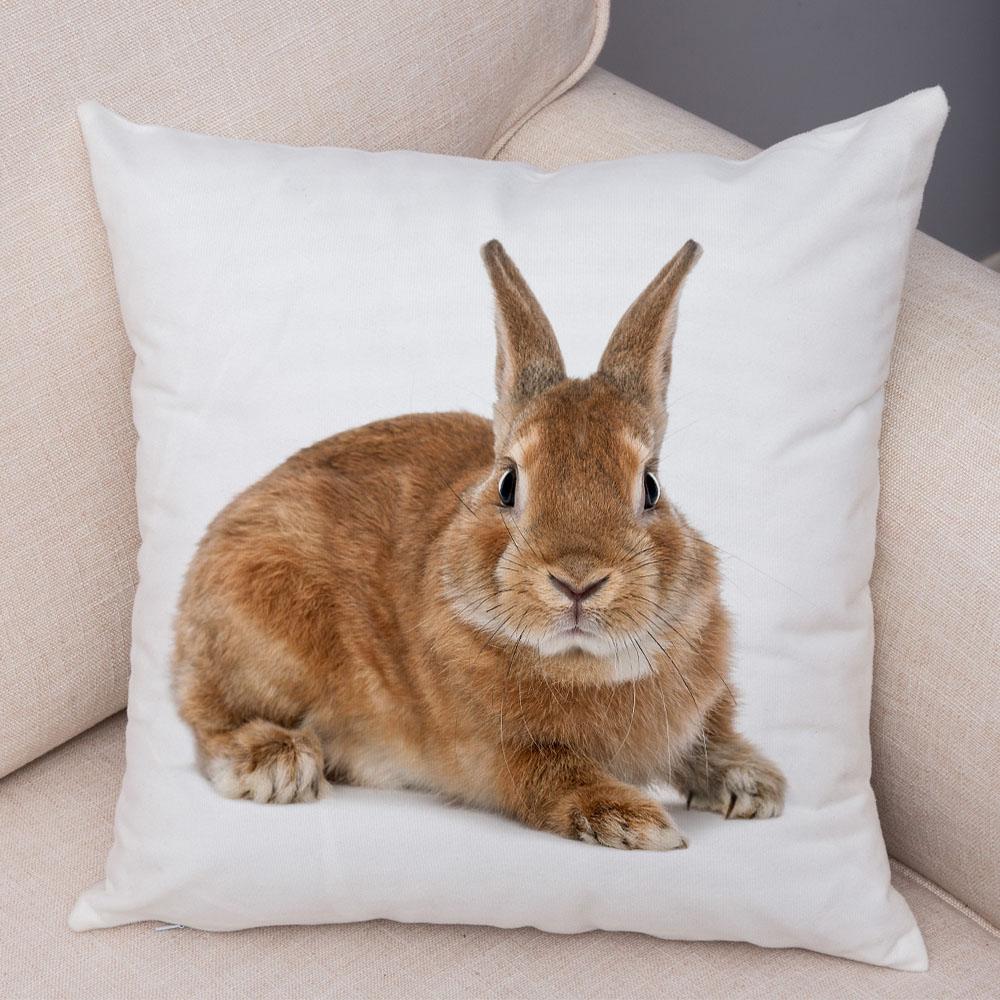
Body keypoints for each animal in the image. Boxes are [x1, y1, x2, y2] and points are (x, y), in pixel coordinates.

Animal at [172, 238, 786, 851]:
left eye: (652, 487)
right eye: (508, 483)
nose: (577, 580)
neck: (581, 664)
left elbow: (708, 740)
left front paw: (754, 786)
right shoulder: (497, 753)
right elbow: (554, 777)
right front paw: (637, 823)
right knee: (209, 723)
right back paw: (278, 763)